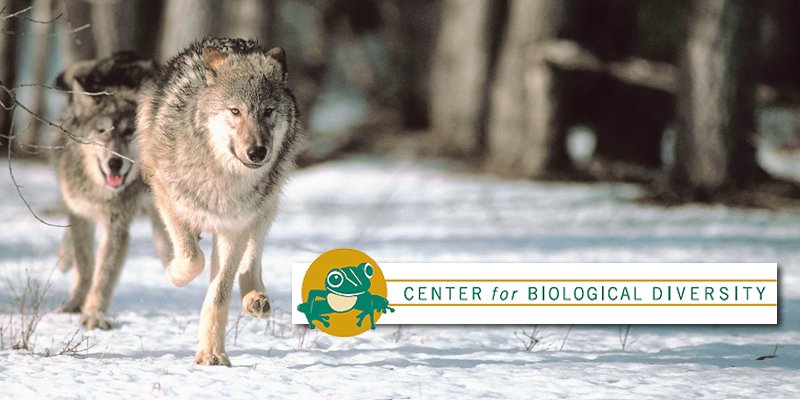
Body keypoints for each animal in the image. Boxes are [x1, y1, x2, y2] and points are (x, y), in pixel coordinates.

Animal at [54, 53, 171, 330]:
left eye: (129, 132)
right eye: (102, 131)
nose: (115, 163)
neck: (102, 191)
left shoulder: (116, 225)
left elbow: (104, 275)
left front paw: (94, 315)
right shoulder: (80, 213)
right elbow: (86, 264)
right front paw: (76, 303)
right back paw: (64, 258)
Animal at [136, 37, 301, 366]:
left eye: (268, 111)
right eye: (235, 111)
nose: (257, 152)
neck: (223, 179)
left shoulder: (234, 227)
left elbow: (219, 293)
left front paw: (211, 353)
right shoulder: (167, 198)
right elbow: (192, 259)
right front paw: (173, 274)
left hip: (268, 201)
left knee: (253, 254)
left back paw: (255, 298)